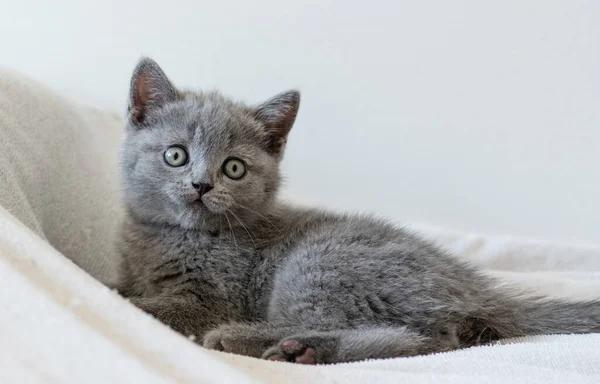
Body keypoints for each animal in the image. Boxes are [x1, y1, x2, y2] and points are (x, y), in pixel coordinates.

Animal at [118, 57, 600, 364]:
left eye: (234, 167)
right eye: (176, 155)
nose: (202, 185)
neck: (174, 236)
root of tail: (477, 290)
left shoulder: (214, 297)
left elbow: (159, 307)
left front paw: (133, 303)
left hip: (321, 262)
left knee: (420, 337)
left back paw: (270, 343)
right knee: (436, 338)